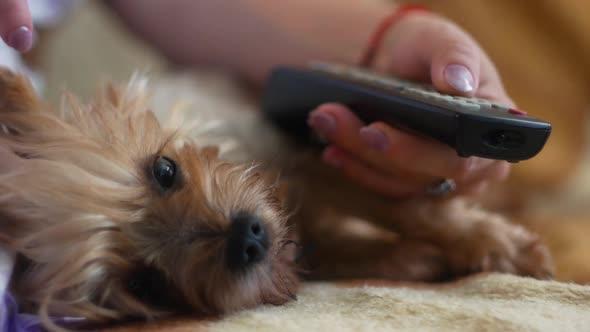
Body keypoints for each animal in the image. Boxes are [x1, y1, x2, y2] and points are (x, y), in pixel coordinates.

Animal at [0, 67, 556, 330]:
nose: (248, 238)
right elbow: (352, 245)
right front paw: (412, 259)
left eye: (164, 170)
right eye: (147, 285)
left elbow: (410, 209)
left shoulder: (318, 153)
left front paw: (504, 249)